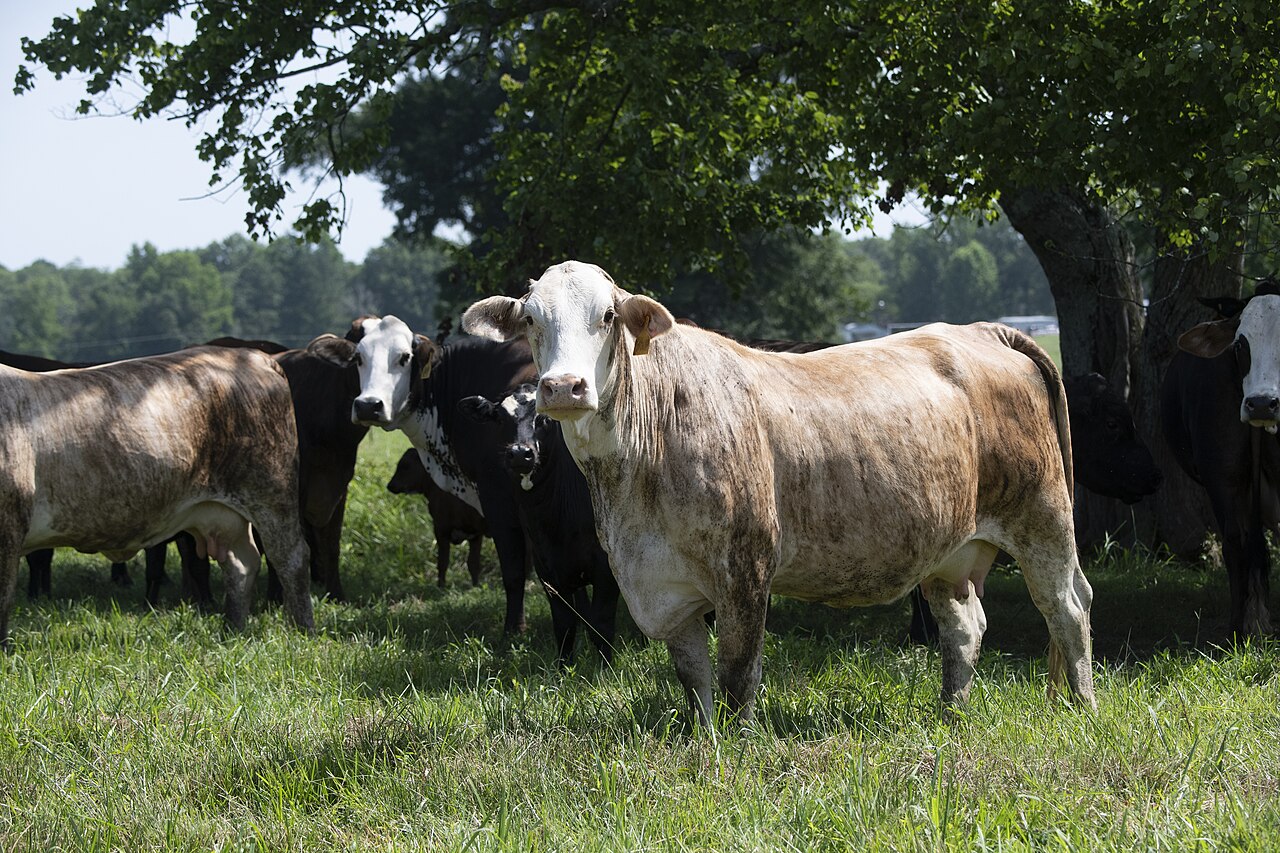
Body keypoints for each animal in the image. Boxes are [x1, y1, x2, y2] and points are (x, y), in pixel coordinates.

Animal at [0, 346, 315, 647]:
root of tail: (255, 357)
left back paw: (303, 631)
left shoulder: (9, 527)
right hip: (221, 513)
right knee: (241, 564)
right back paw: (233, 631)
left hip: (271, 492)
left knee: (291, 558)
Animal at [386, 447, 488, 587]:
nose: (390, 485)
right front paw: (475, 586)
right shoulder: (475, 534)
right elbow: (473, 563)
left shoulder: (441, 528)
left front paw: (441, 587)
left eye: (405, 465)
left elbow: (443, 562)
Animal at [459, 384, 620, 665]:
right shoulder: (547, 569)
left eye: (546, 419)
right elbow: (565, 625)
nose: (519, 453)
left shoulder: (606, 566)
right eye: (499, 417)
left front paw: (605, 669)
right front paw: (564, 667)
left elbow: (601, 623)